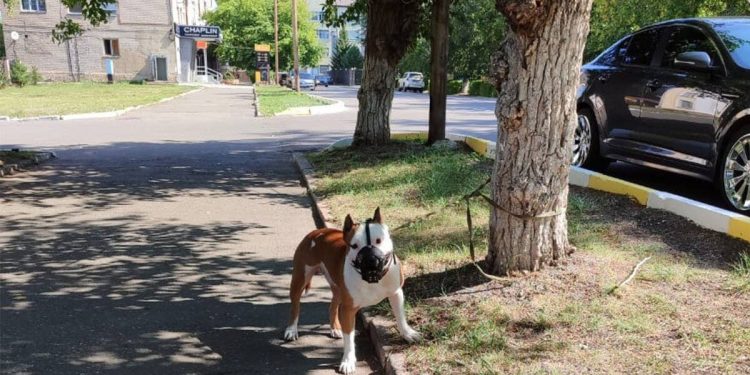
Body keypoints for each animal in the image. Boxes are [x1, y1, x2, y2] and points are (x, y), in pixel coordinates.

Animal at [284, 209, 420, 375]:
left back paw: (335, 329)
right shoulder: (348, 309)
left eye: (378, 241)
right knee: (295, 306)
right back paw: (291, 330)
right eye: (354, 246)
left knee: (332, 306)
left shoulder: (396, 293)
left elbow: (400, 317)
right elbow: (349, 338)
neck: (372, 278)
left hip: (337, 288)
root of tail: (318, 232)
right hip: (300, 278)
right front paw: (348, 361)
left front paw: (407, 334)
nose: (370, 258)